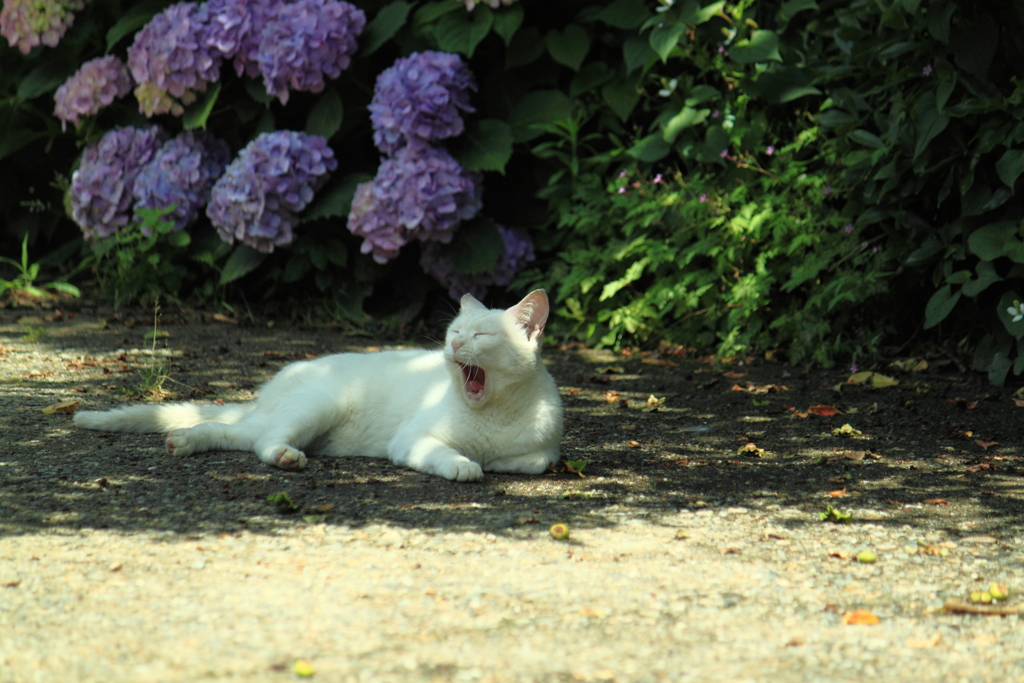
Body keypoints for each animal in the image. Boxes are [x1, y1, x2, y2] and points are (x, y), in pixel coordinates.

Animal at [74, 290, 565, 483]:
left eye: (480, 335)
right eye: (453, 332)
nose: (455, 344)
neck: (491, 411)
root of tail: (269, 390)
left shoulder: (544, 452)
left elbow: (529, 462)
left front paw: (489, 461)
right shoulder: (412, 439)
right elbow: (446, 453)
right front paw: (466, 465)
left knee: (234, 435)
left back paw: (184, 442)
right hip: (318, 405)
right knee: (264, 442)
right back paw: (286, 458)